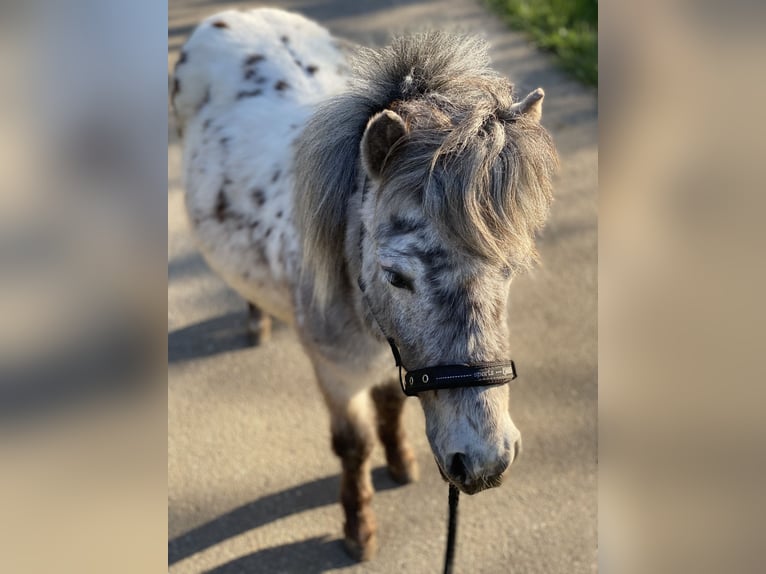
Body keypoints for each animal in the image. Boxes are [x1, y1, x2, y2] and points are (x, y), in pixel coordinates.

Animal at [172, 7, 560, 564]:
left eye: (509, 270)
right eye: (396, 276)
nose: (486, 463)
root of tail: (240, 14)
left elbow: (391, 407)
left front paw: (401, 463)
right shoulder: (336, 373)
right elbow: (353, 447)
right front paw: (359, 529)